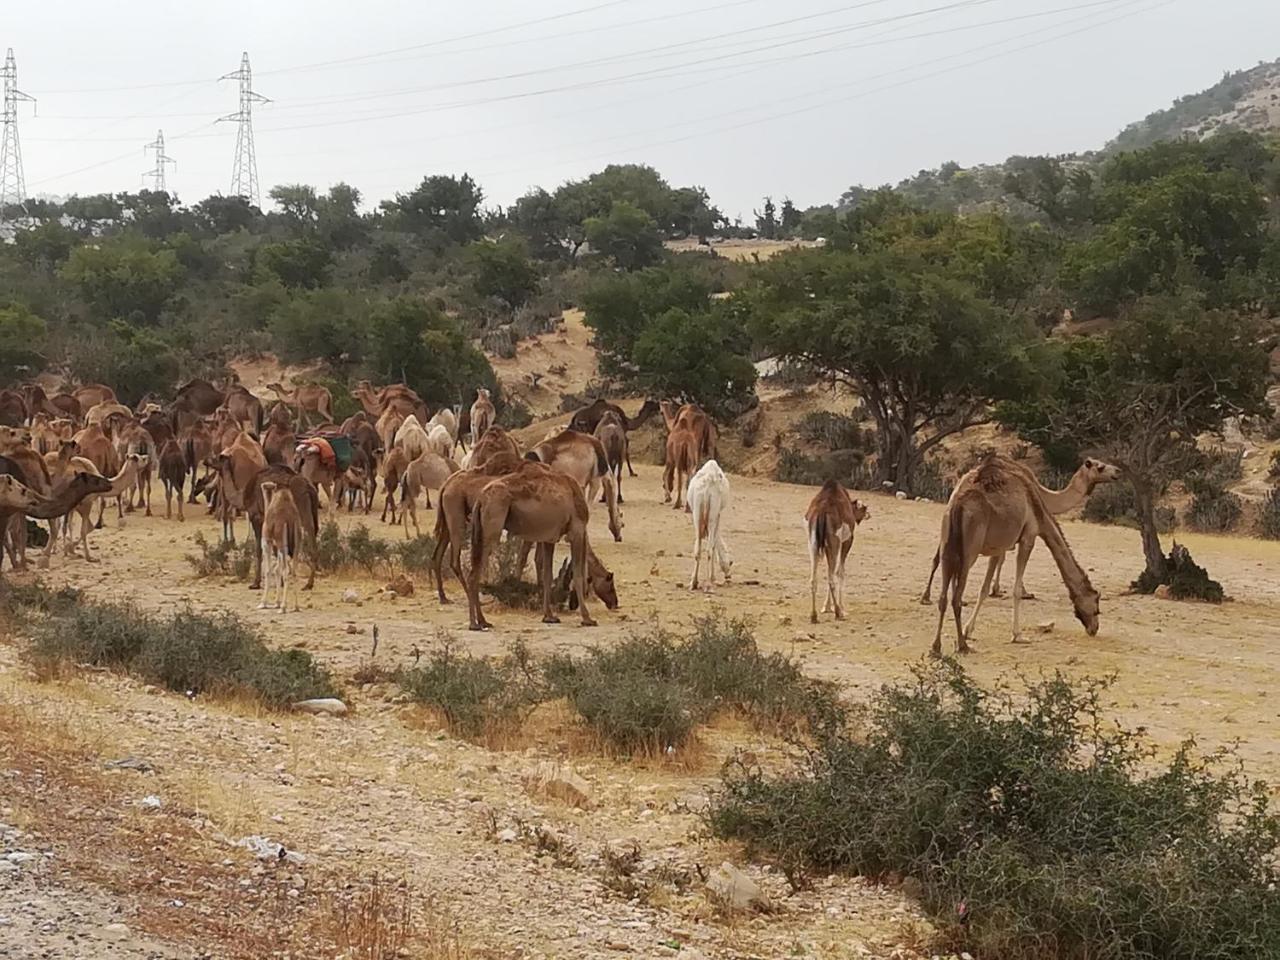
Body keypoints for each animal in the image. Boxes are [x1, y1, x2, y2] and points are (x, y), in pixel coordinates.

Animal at [463, 463, 601, 634]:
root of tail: (481, 499)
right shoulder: (577, 530)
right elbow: (578, 574)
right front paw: (587, 619)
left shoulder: (550, 538)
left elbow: (547, 575)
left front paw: (549, 616)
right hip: (492, 525)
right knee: (473, 574)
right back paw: (474, 624)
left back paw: (483, 621)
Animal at [798, 478, 870, 624]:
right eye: (864, 508)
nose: (868, 514)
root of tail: (821, 513)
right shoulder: (847, 540)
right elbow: (840, 572)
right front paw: (841, 608)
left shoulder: (825, 545)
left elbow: (829, 571)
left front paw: (826, 607)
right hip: (835, 541)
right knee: (832, 576)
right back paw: (838, 612)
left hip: (812, 542)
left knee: (814, 578)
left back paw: (813, 616)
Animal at [921, 455, 1121, 601]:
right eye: (1100, 467)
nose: (1117, 471)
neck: (1045, 495)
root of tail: (963, 483)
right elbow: (1004, 558)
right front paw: (1018, 592)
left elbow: (1001, 557)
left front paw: (997, 589)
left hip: (951, 517)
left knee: (940, 554)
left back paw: (926, 596)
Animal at [931, 458, 1100, 660]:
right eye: (1096, 602)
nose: (1094, 628)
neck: (1038, 509)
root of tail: (957, 504)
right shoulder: (1028, 537)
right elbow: (1016, 590)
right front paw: (1018, 635)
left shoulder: (999, 546)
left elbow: (984, 588)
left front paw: (969, 629)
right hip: (969, 550)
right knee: (956, 596)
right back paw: (963, 646)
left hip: (948, 544)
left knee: (943, 596)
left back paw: (936, 647)